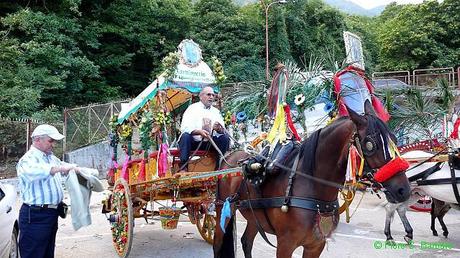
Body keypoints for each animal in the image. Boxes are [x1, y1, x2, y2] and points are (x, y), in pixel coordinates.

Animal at [212, 103, 410, 258]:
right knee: (217, 244)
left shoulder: (316, 245)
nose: (403, 190)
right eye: (370, 145)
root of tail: (229, 156)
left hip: (254, 217)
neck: (312, 188)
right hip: (223, 210)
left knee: (246, 241)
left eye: (394, 139)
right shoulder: (285, 245)